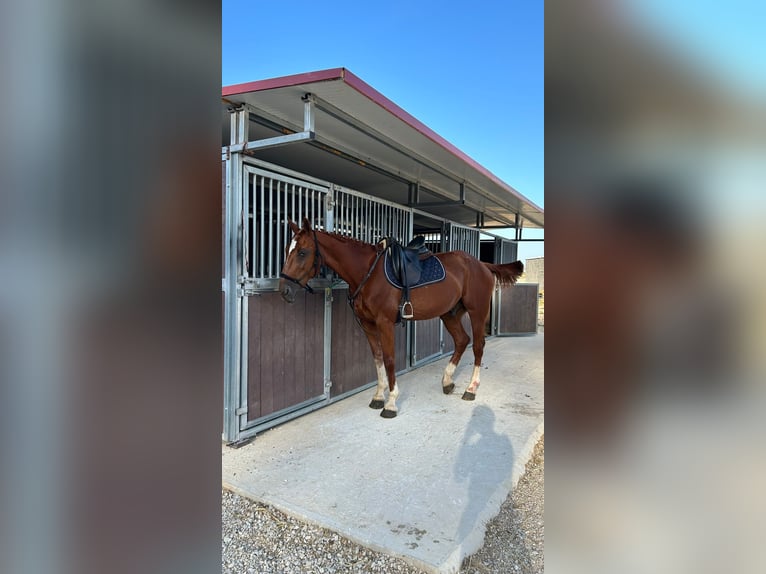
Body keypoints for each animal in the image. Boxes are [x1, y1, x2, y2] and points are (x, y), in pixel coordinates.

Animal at [282, 218, 528, 420]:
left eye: (302, 252)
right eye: (287, 250)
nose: (284, 290)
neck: (368, 273)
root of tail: (482, 265)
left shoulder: (385, 324)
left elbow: (390, 359)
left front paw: (390, 403)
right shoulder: (368, 325)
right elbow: (377, 358)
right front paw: (378, 397)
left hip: (477, 312)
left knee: (477, 346)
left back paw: (470, 389)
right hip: (449, 314)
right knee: (461, 341)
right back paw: (447, 381)